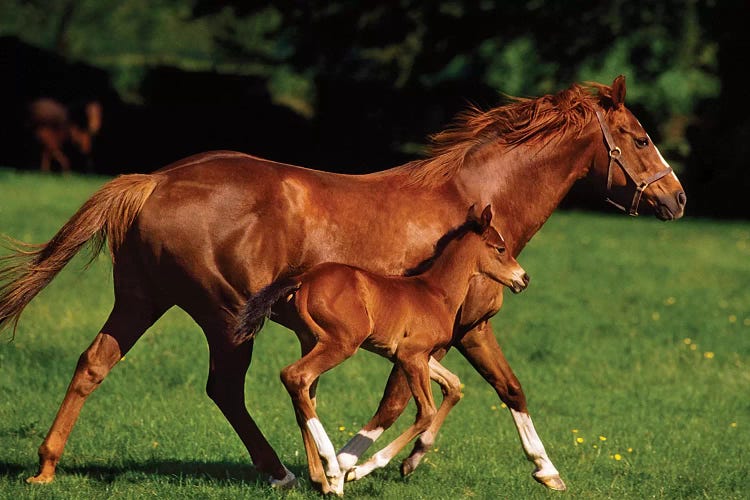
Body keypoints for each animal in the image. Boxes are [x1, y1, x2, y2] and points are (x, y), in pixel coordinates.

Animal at [238, 205, 532, 494]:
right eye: (500, 248)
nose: (524, 278)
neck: (436, 293)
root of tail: (304, 278)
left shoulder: (415, 357)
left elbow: (454, 385)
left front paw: (409, 460)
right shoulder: (411, 356)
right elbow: (427, 412)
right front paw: (357, 470)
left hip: (310, 341)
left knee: (305, 393)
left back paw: (322, 479)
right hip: (342, 343)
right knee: (295, 376)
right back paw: (332, 467)